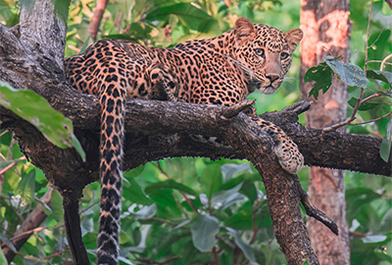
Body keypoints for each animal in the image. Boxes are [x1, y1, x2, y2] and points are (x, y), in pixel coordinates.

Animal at [64, 17, 304, 262]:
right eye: (259, 52)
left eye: (284, 55)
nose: (273, 78)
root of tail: (104, 59)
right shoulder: (216, 109)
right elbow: (268, 124)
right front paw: (293, 155)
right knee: (156, 80)